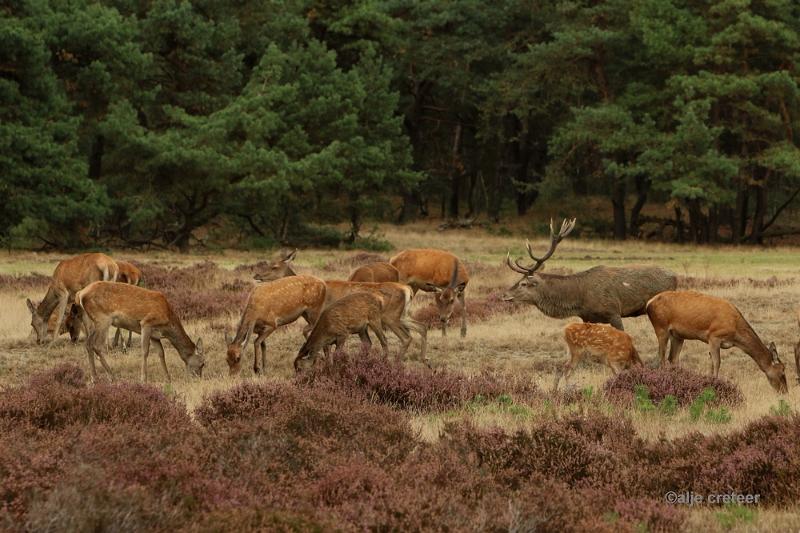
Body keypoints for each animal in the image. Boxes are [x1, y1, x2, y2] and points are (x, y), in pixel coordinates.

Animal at [76, 282, 205, 382]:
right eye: (203, 363)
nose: (198, 378)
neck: (167, 321)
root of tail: (80, 294)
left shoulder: (155, 335)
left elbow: (161, 353)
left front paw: (168, 379)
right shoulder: (146, 323)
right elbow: (145, 351)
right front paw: (143, 379)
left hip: (89, 321)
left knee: (88, 344)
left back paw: (94, 378)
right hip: (103, 319)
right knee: (97, 345)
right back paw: (112, 376)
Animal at [255, 250, 432, 360]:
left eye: (274, 266)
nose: (257, 275)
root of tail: (407, 290)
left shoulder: (319, 317)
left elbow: (311, 335)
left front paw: (322, 357)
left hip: (390, 317)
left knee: (406, 337)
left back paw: (397, 363)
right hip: (401, 316)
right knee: (421, 327)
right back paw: (423, 359)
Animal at [504, 217, 680, 328]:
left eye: (523, 283)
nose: (505, 294)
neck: (580, 298)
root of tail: (676, 277)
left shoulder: (614, 311)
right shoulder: (587, 318)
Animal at [644, 288, 788, 392]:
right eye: (782, 372)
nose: (785, 391)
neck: (735, 333)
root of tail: (648, 303)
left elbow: (711, 363)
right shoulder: (714, 337)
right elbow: (717, 362)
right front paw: (715, 384)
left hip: (678, 335)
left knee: (672, 358)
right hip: (661, 327)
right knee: (661, 357)